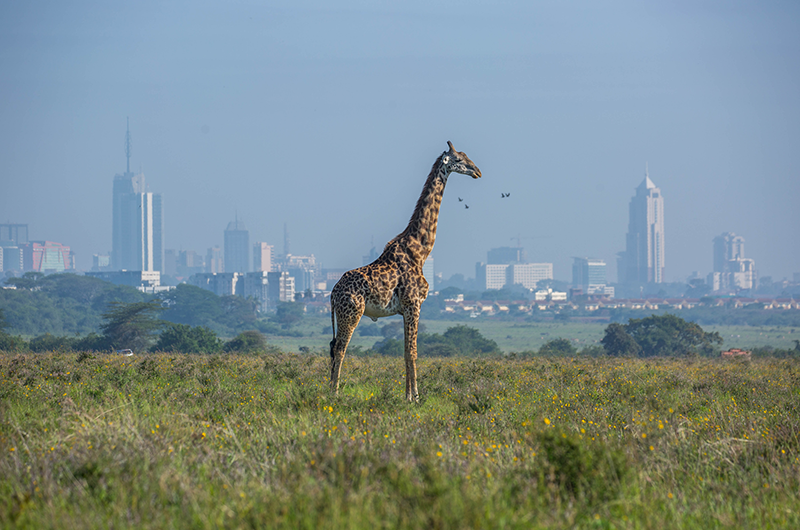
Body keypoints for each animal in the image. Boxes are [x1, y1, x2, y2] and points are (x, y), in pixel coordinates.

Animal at [329, 141, 482, 401]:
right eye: (459, 159)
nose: (477, 171)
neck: (420, 250)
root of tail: (331, 294)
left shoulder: (404, 309)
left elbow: (404, 351)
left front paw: (408, 395)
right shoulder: (414, 303)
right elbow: (413, 352)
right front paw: (415, 397)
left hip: (343, 314)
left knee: (332, 348)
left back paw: (328, 390)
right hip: (351, 312)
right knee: (340, 349)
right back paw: (335, 394)